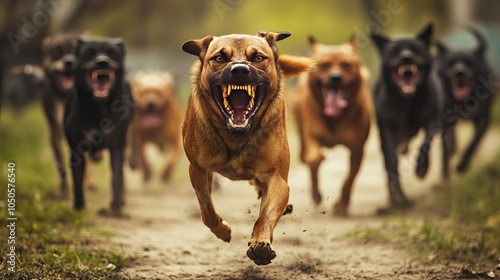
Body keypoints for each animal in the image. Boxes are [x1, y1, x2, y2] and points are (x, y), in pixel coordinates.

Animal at [65, 37, 134, 212]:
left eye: (112, 53)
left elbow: (116, 177)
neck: (99, 107)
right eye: (89, 52)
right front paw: (79, 207)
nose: (102, 62)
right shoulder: (76, 150)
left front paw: (116, 205)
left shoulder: (116, 147)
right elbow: (77, 180)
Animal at [182, 32, 310, 264]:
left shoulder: (277, 177)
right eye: (219, 57)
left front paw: (261, 243)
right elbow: (206, 209)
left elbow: (266, 214)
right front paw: (223, 230)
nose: (240, 70)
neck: (236, 135)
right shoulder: (197, 168)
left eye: (258, 57)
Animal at [292, 35, 372, 217]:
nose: (336, 77)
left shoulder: (357, 149)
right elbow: (314, 159)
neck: (335, 118)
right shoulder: (312, 136)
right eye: (324, 65)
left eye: (346, 65)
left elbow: (349, 179)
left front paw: (342, 205)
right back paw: (316, 195)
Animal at [372, 24, 446, 212]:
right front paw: (398, 196)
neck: (406, 101)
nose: (406, 57)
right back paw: (395, 200)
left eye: (415, 49)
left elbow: (425, 144)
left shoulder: (433, 121)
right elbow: (392, 163)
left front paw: (422, 168)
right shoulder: (387, 129)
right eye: (394, 51)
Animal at [438, 27, 496, 178]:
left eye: (469, 62)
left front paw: (462, 166)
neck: (464, 101)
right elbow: (444, 150)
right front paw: (445, 173)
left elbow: (473, 143)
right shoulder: (445, 119)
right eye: (451, 63)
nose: (459, 72)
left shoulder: (483, 118)